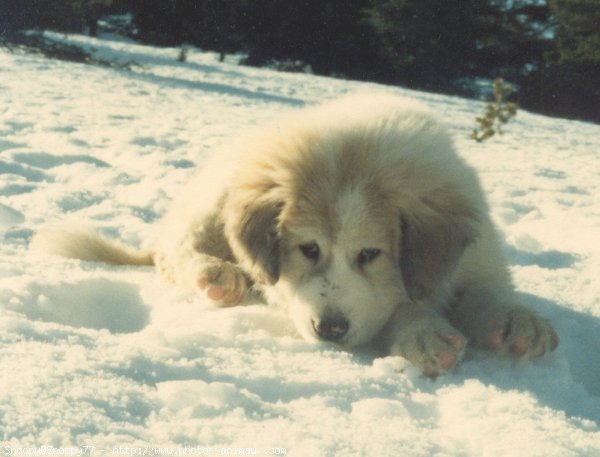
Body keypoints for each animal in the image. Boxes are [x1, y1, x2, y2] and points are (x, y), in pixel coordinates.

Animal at [31, 93, 556, 378]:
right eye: (308, 248)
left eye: (371, 253)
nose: (330, 330)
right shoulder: (283, 287)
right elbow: (398, 308)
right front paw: (423, 333)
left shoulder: (476, 254)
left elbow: (486, 291)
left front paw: (516, 323)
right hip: (219, 196)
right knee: (175, 251)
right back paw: (216, 274)